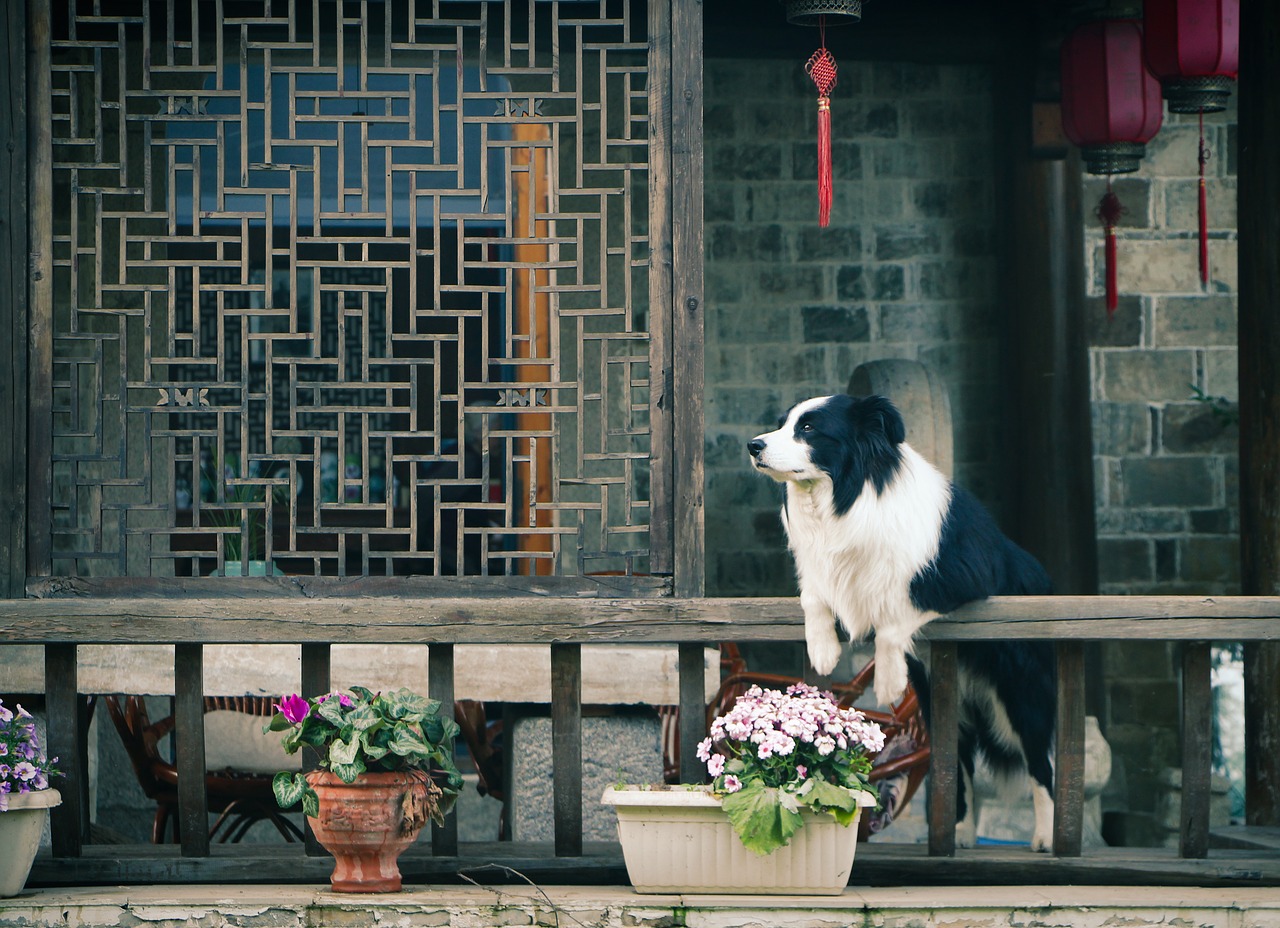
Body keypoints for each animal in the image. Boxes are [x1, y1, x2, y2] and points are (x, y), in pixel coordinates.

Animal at [747, 391, 1054, 844]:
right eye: (783, 423)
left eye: (809, 428)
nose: (753, 446)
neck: (844, 496)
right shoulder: (819, 567)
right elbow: (814, 596)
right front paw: (823, 652)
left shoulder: (958, 576)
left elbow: (894, 610)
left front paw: (889, 683)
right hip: (943, 697)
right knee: (957, 758)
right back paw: (960, 832)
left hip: (1020, 691)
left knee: (1039, 760)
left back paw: (1046, 838)